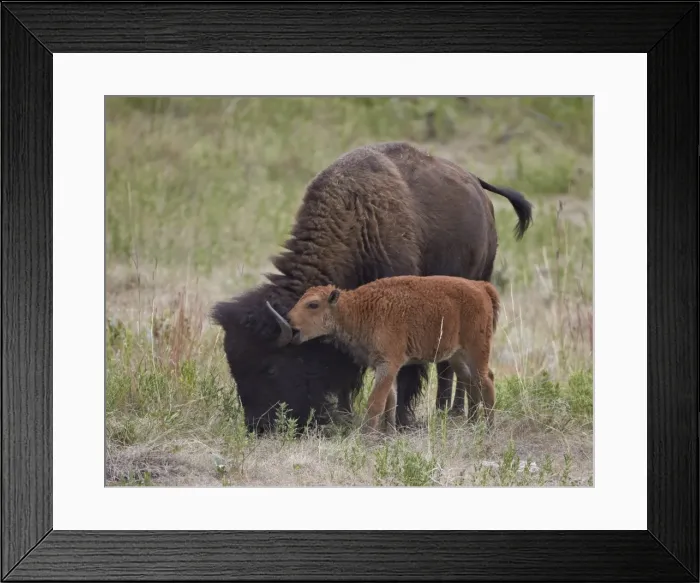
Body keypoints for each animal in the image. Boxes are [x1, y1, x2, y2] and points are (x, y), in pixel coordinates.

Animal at [211, 141, 532, 434]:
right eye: (234, 368)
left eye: (270, 366)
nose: (258, 426)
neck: (356, 219)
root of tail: (477, 184)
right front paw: (347, 415)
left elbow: (405, 373)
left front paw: (399, 421)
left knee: (451, 368)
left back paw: (451, 413)